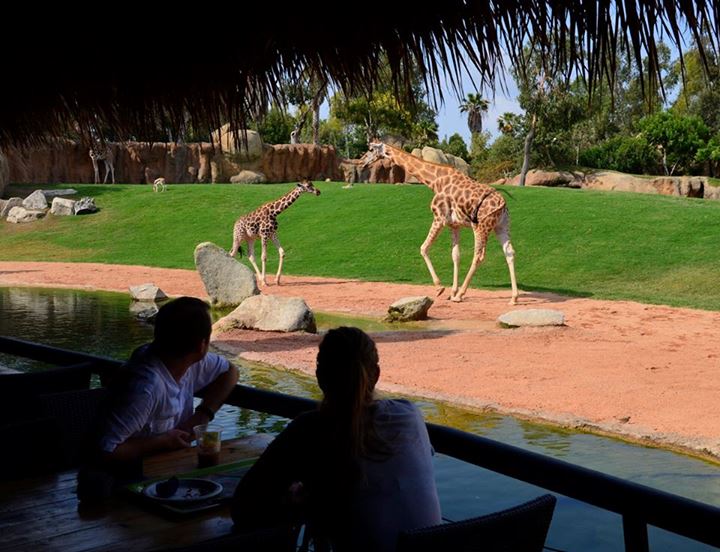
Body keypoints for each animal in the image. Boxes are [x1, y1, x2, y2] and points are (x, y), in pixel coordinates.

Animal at [363, 142, 519, 305]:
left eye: (370, 149)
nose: (363, 162)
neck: (434, 181)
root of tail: (502, 203)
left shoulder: (439, 218)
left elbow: (424, 248)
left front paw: (440, 288)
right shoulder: (454, 225)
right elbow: (455, 255)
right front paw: (451, 291)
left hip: (481, 226)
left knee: (479, 255)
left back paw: (461, 295)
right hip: (501, 225)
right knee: (509, 252)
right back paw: (513, 298)